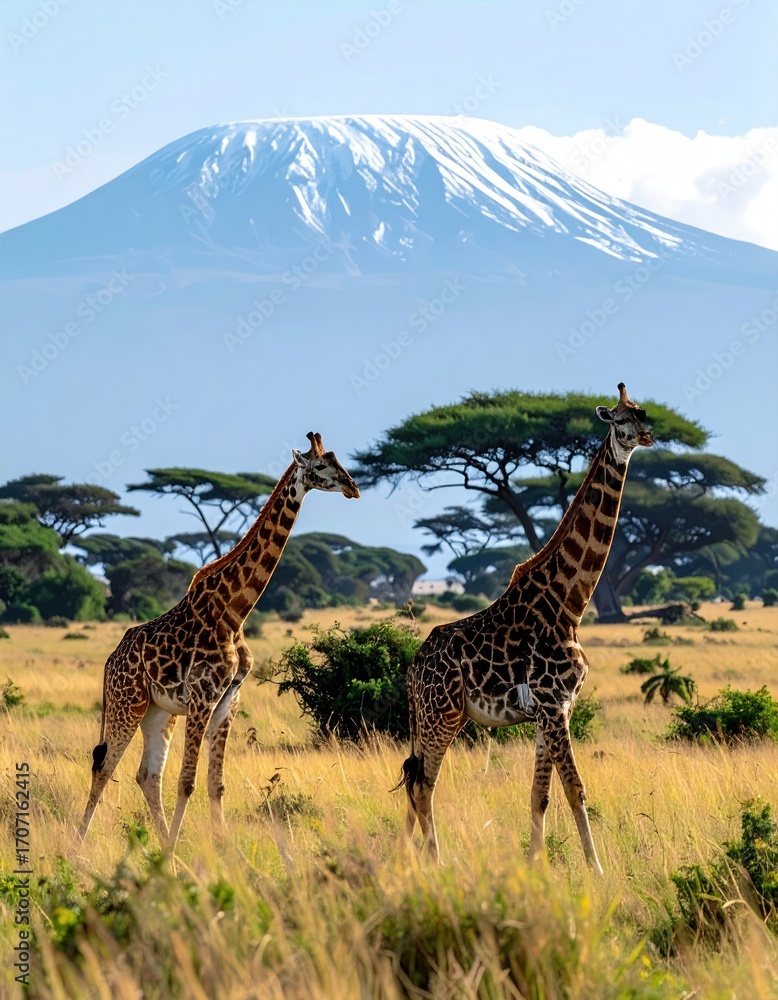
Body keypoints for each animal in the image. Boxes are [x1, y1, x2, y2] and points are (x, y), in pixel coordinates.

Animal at [78, 432, 360, 852]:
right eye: (322, 465)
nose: (353, 487)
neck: (234, 612)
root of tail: (109, 662)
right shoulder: (202, 697)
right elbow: (188, 781)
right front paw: (177, 852)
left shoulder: (229, 701)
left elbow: (216, 784)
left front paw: (220, 851)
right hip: (126, 704)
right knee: (104, 767)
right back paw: (77, 849)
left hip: (157, 712)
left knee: (147, 775)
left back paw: (160, 848)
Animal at [397, 384, 654, 872]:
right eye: (618, 419)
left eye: (644, 413)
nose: (647, 436)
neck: (569, 605)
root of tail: (413, 669)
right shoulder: (554, 704)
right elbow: (575, 789)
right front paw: (597, 869)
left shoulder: (552, 710)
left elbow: (540, 794)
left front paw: (537, 864)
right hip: (444, 715)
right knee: (422, 786)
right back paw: (435, 863)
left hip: (428, 719)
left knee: (411, 783)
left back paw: (402, 858)